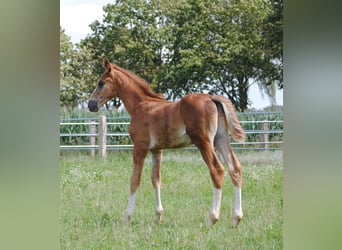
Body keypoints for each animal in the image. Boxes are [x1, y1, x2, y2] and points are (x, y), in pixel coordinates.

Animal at [87, 58, 244, 227]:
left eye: (101, 83)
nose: (90, 104)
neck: (140, 105)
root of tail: (211, 98)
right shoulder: (157, 150)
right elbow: (156, 179)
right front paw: (158, 216)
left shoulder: (140, 147)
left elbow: (135, 180)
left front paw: (127, 216)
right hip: (220, 139)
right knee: (235, 168)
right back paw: (236, 218)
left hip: (203, 142)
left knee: (217, 170)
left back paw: (212, 218)